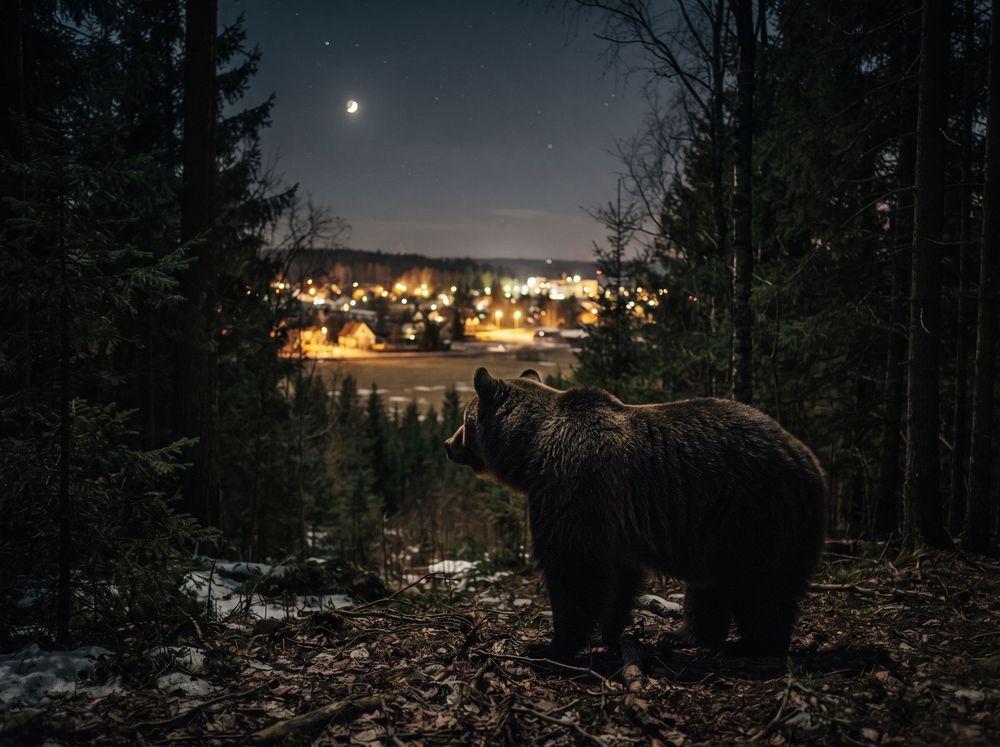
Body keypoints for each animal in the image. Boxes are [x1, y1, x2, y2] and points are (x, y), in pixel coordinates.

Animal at [444, 367, 826, 662]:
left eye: (465, 419)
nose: (448, 444)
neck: (531, 450)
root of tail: (812, 464)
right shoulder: (610, 518)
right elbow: (619, 575)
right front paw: (610, 632)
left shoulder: (572, 489)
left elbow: (572, 568)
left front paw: (550, 646)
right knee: (709, 587)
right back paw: (682, 636)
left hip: (755, 514)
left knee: (760, 590)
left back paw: (751, 645)